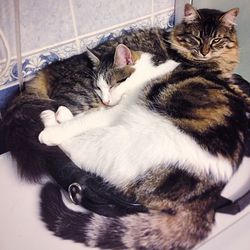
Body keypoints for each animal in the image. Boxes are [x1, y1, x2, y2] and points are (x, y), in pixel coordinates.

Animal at [38, 3, 248, 250]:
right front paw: (68, 114)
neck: (148, 68)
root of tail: (207, 198)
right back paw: (60, 113)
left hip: (121, 141)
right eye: (98, 88)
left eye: (113, 84)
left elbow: (86, 120)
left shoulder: (115, 112)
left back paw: (50, 121)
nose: (105, 100)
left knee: (76, 148)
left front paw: (55, 129)